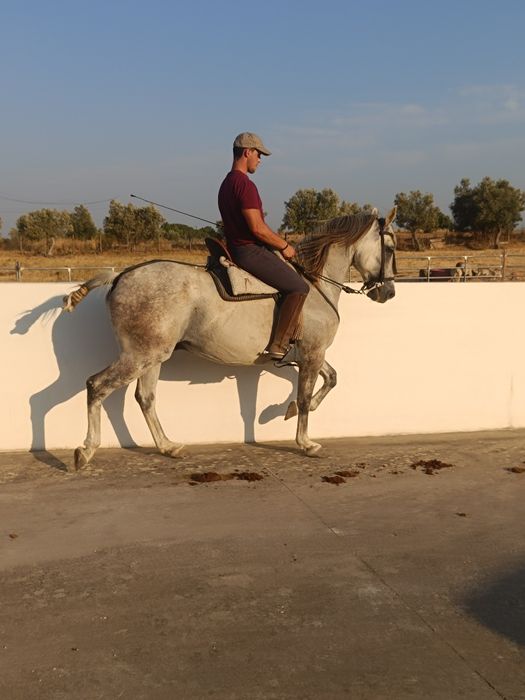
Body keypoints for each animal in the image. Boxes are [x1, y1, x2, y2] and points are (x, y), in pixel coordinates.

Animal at [63, 207, 397, 469]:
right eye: (391, 248)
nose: (388, 293)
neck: (314, 284)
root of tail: (120, 276)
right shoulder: (313, 353)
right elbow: (305, 396)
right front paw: (305, 442)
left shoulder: (309, 354)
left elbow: (332, 379)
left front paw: (289, 412)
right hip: (139, 356)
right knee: (97, 386)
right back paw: (87, 450)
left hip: (153, 356)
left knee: (145, 398)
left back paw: (169, 446)